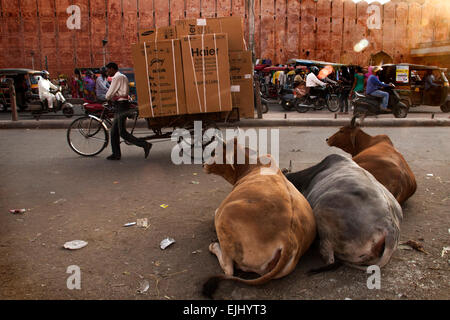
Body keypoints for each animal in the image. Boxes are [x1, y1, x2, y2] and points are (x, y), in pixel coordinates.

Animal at [202, 141, 314, 298]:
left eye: (214, 153)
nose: (203, 164)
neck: (250, 165)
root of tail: (289, 240)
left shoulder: (220, 211)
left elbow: (215, 211)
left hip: (225, 215)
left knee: (229, 268)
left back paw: (214, 246)